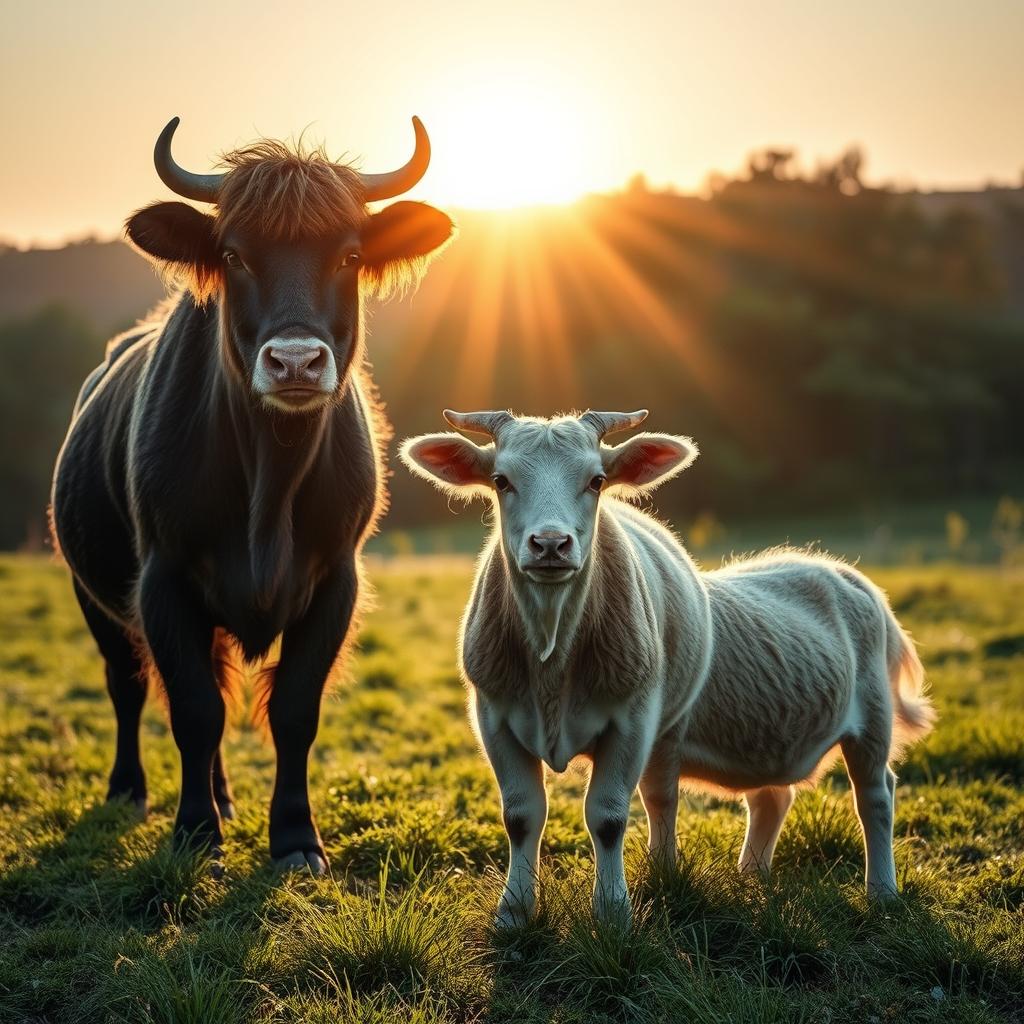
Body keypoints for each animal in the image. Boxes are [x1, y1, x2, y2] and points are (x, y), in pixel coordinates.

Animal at [50, 117, 454, 873]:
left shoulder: (336, 583)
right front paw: (195, 832)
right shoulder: (162, 580)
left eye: (350, 254)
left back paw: (225, 796)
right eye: (235, 255)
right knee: (127, 684)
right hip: (94, 594)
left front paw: (294, 838)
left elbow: (294, 710)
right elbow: (194, 710)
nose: (295, 361)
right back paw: (130, 790)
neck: (272, 481)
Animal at [400, 409, 935, 924]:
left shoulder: (633, 719)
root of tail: (846, 574)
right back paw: (750, 881)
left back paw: (882, 893)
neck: (552, 655)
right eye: (501, 480)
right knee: (770, 798)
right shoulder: (495, 717)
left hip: (872, 719)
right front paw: (513, 913)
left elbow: (608, 816)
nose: (550, 544)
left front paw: (613, 914)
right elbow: (522, 815)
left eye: (597, 481)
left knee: (875, 795)